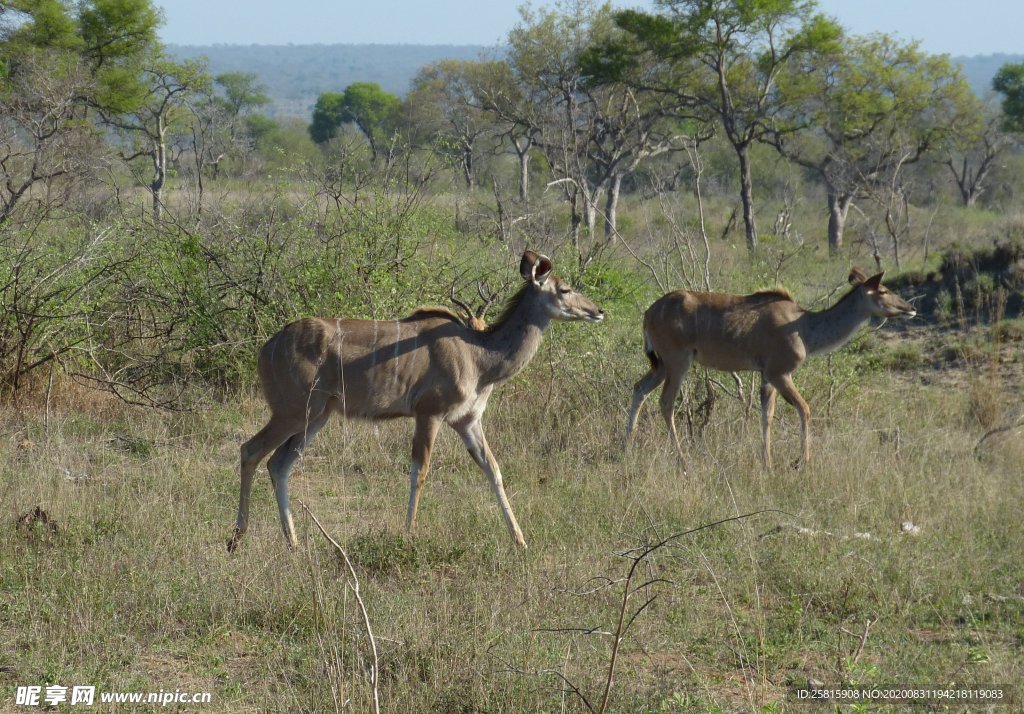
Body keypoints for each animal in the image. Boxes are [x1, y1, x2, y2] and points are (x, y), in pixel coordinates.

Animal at [228, 250, 602, 553]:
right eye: (564, 288)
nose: (598, 311)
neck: (479, 355)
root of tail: (267, 348)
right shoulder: (429, 413)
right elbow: (419, 470)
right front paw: (408, 535)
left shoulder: (467, 421)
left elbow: (493, 469)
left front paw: (520, 540)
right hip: (292, 412)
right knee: (251, 450)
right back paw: (236, 539)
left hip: (318, 416)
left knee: (279, 463)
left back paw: (292, 544)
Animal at [626, 266, 917, 467]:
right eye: (883, 290)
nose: (911, 308)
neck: (804, 327)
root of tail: (649, 313)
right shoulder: (780, 373)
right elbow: (804, 409)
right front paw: (801, 462)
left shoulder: (767, 376)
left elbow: (766, 415)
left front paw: (766, 463)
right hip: (678, 362)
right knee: (666, 402)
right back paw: (683, 461)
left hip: (662, 365)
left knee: (639, 389)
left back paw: (625, 447)